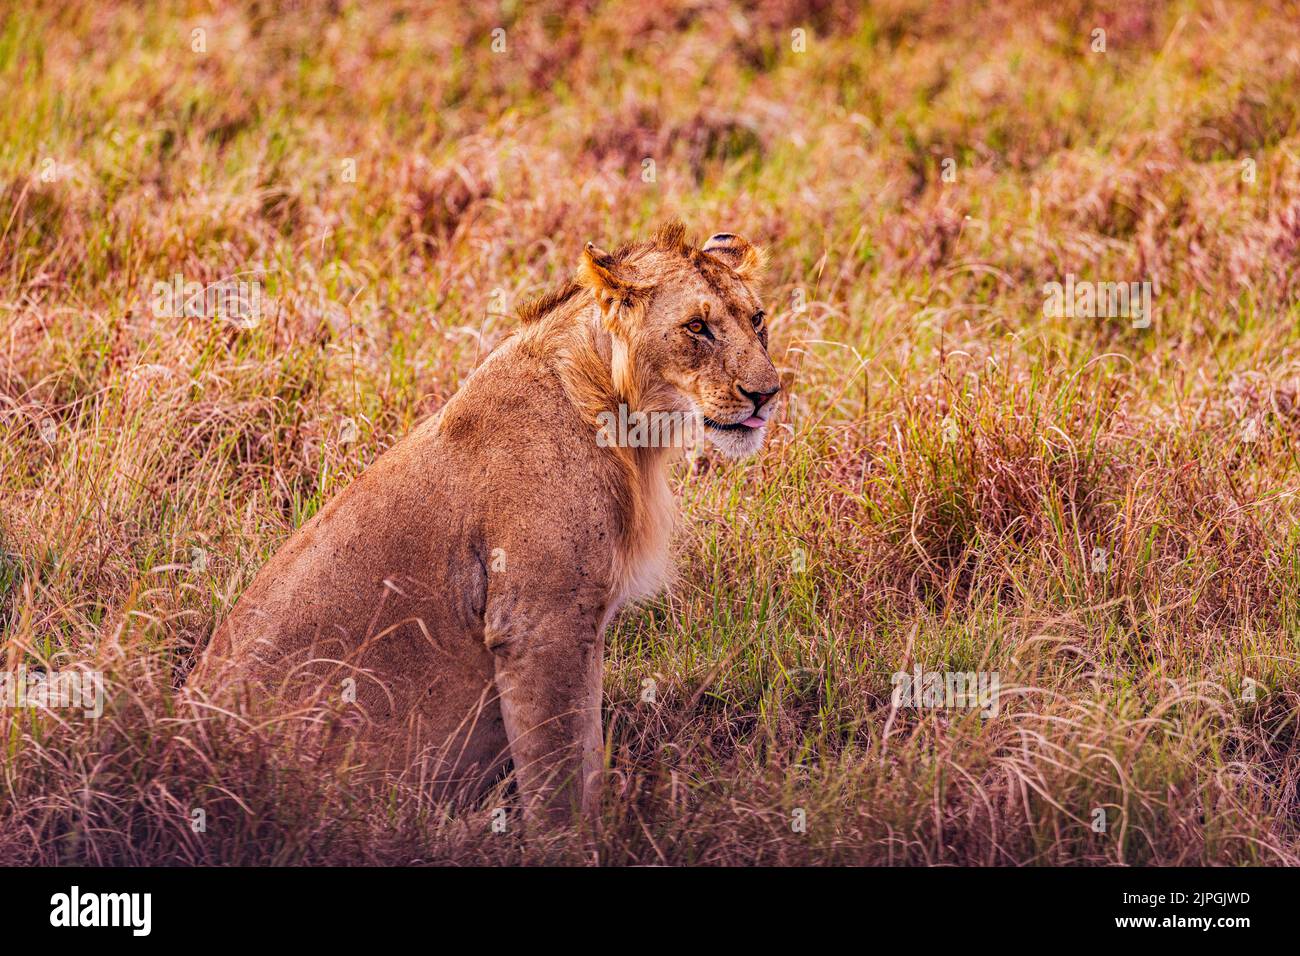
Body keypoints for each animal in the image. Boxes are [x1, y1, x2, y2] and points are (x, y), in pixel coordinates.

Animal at [189, 222, 780, 823]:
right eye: (696, 327)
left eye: (756, 319)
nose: (767, 395)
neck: (623, 425)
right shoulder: (540, 626)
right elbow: (562, 777)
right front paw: (575, 839)